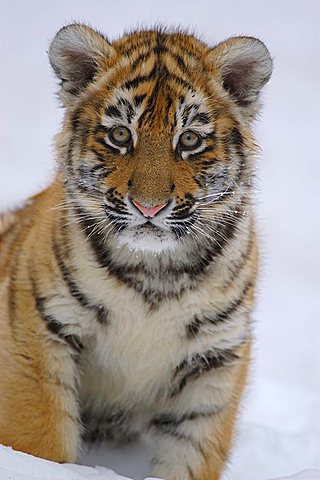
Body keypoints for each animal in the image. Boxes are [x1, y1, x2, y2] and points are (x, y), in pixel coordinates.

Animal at [0, 23, 272, 480]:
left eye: (190, 140)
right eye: (120, 135)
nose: (149, 207)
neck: (154, 274)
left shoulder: (214, 360)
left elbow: (191, 455)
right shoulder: (37, 333)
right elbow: (41, 439)